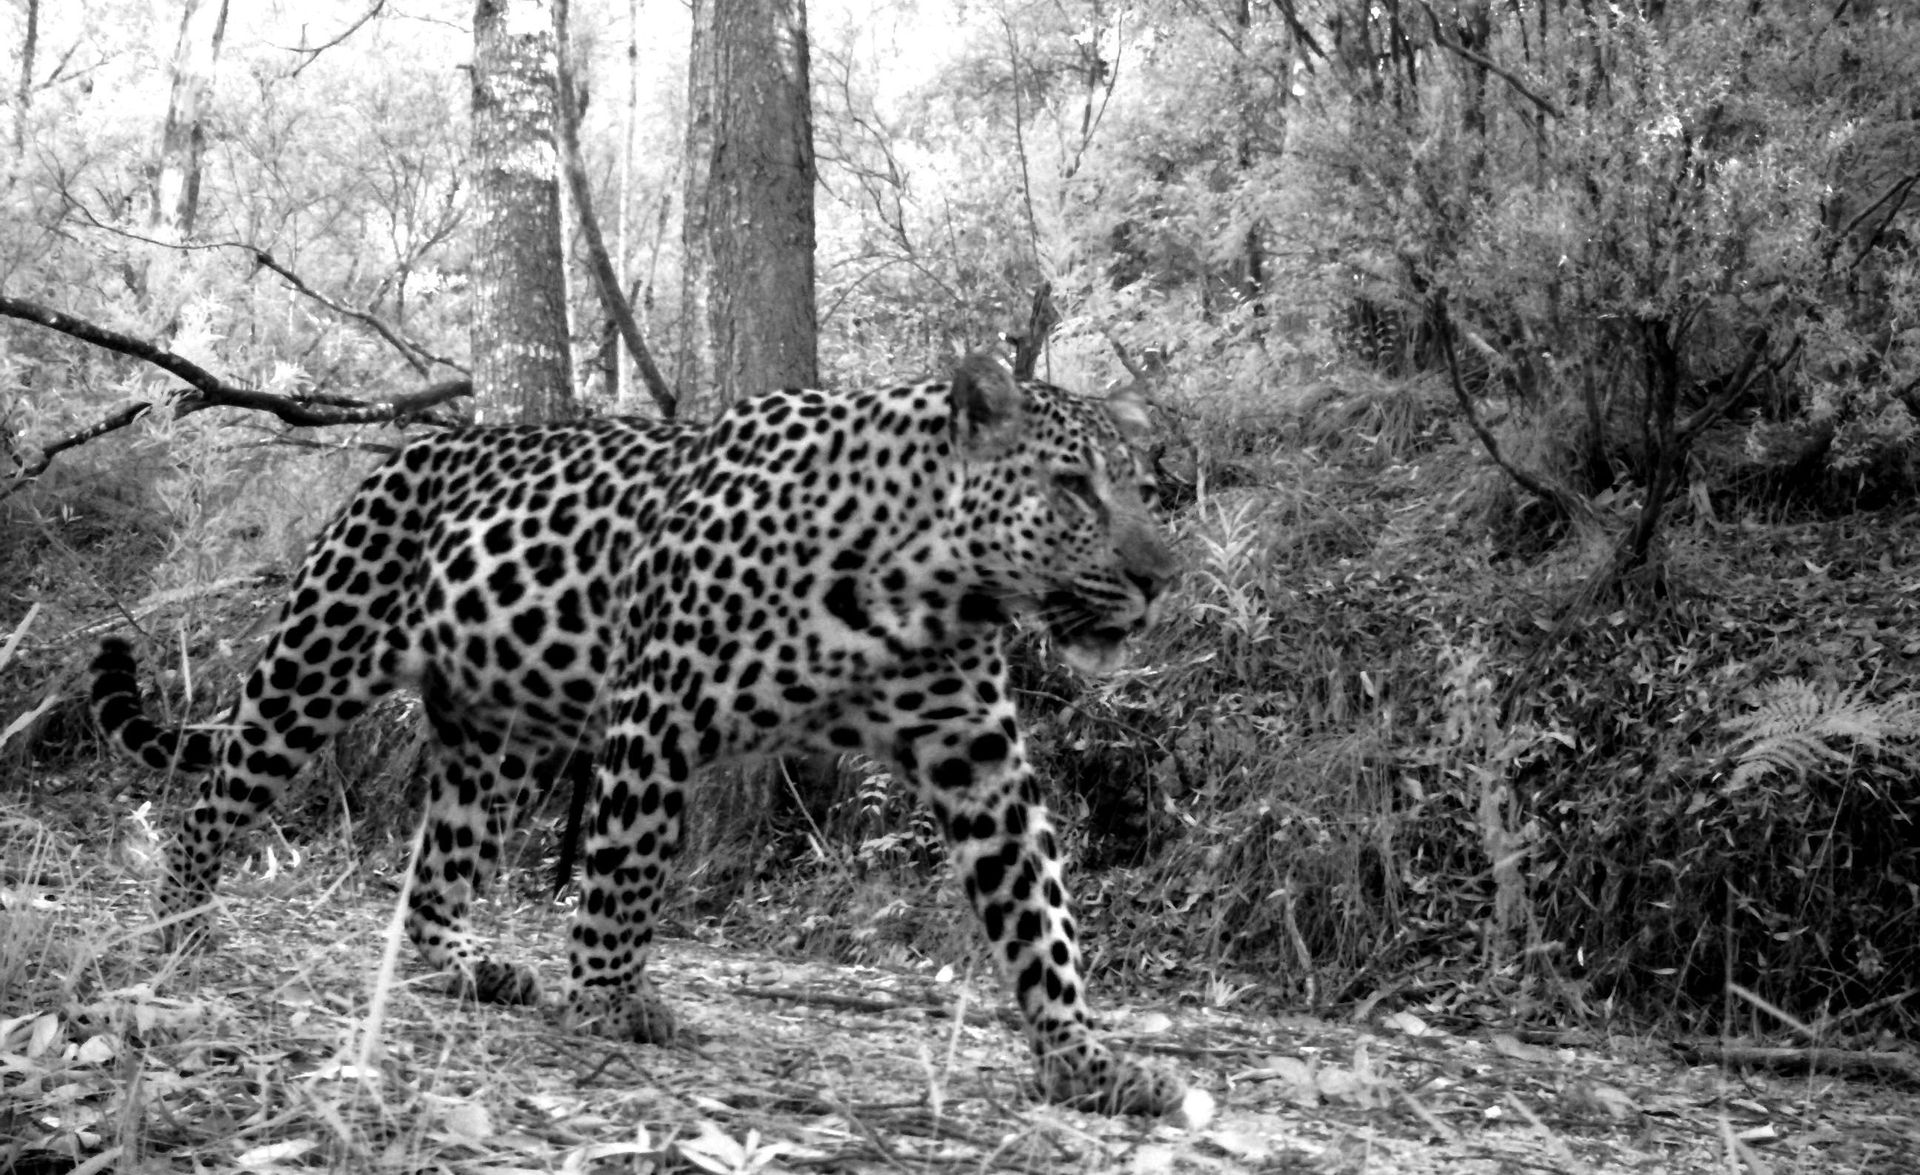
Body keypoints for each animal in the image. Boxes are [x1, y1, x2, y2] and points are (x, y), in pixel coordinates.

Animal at [90, 352, 1187, 1115]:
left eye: (1140, 488)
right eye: (1074, 488)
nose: (1160, 578)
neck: (924, 582)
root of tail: (406, 451)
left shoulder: (980, 759)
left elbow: (1040, 913)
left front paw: (1088, 1059)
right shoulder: (660, 705)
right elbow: (631, 861)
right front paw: (613, 999)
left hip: (502, 735)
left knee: (439, 868)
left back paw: (472, 965)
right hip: (318, 659)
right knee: (213, 798)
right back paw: (180, 924)